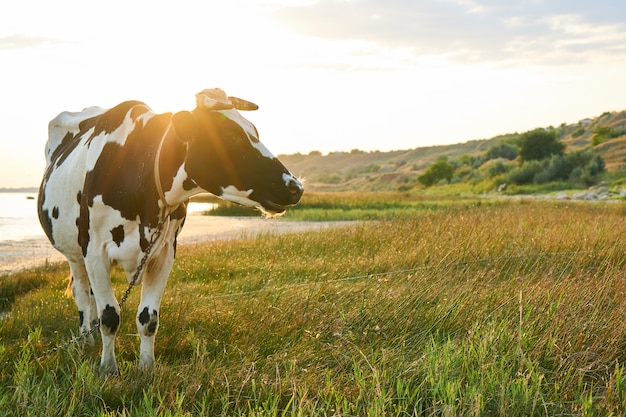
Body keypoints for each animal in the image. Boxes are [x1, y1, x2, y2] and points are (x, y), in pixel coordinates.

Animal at [37, 88, 304, 374]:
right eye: (231, 136)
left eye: (254, 130)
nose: (296, 187)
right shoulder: (95, 251)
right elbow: (110, 316)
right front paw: (108, 369)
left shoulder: (164, 252)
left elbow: (148, 319)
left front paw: (146, 369)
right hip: (74, 253)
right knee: (83, 295)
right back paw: (86, 340)